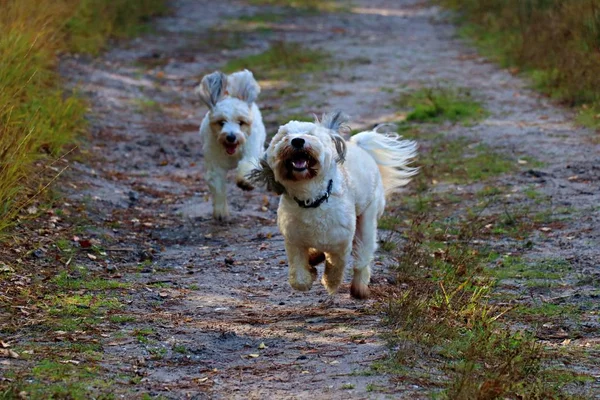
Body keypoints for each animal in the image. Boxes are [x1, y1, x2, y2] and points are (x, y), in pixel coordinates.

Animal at [197, 69, 264, 219]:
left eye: (241, 122)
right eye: (221, 122)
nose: (231, 137)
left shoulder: (250, 151)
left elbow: (247, 164)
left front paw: (245, 182)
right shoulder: (215, 164)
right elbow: (218, 186)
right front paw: (221, 212)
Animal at [248, 111, 418, 298]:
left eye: (310, 134)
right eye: (284, 136)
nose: (297, 141)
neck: (311, 199)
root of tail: (359, 146)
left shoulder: (341, 243)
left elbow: (336, 266)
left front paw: (330, 283)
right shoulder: (294, 241)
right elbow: (298, 278)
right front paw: (308, 274)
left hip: (368, 217)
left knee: (363, 255)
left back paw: (359, 287)